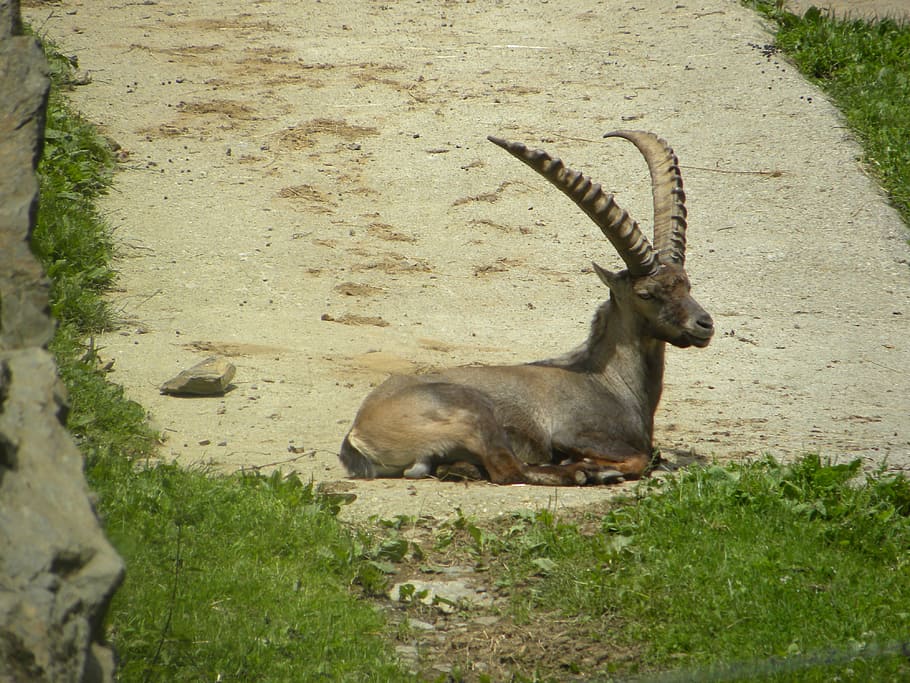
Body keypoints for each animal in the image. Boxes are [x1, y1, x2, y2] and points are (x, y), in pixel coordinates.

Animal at [339, 131, 714, 486]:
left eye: (686, 283)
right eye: (646, 294)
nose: (704, 325)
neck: (606, 379)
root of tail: (358, 434)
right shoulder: (571, 433)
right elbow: (641, 458)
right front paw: (593, 466)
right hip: (474, 415)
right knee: (508, 470)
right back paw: (584, 472)